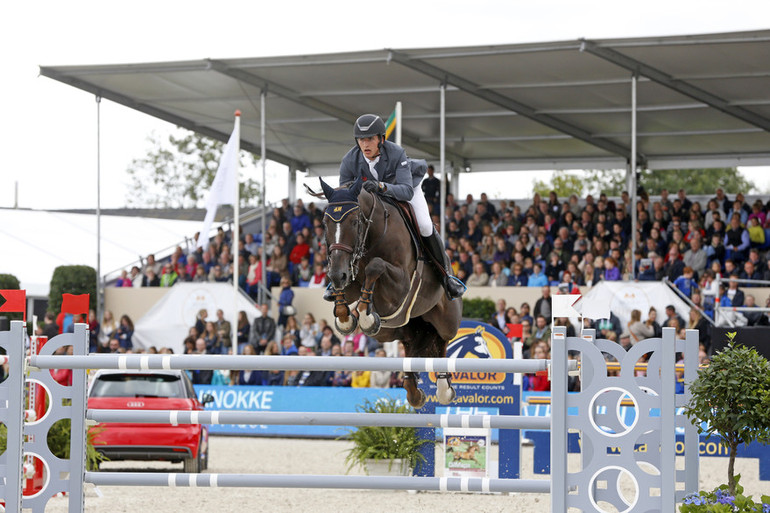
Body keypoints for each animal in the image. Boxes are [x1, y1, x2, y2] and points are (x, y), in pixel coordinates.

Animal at [316, 176, 460, 408]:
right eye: (325, 223)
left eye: (354, 222)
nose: (338, 274)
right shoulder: (349, 274)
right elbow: (346, 292)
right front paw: (346, 318)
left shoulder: (401, 285)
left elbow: (375, 266)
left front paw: (365, 316)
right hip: (392, 332)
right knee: (411, 347)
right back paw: (413, 390)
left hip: (447, 321)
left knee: (442, 341)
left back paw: (444, 387)